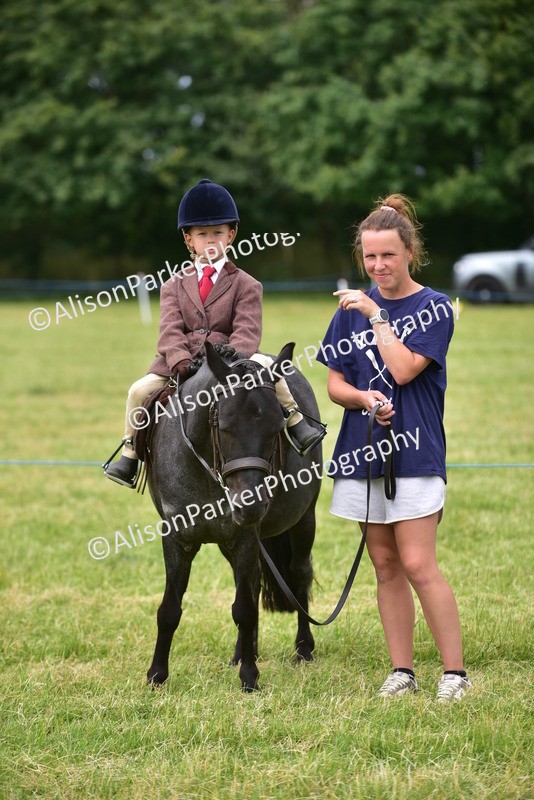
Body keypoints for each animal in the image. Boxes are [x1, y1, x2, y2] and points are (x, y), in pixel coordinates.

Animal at [145, 342, 323, 691]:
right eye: (224, 426)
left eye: (277, 427)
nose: (250, 505)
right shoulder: (176, 538)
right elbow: (170, 609)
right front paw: (157, 675)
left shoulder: (245, 538)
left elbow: (244, 609)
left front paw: (250, 678)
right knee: (253, 586)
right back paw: (243, 653)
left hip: (303, 521)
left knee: (299, 574)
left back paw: (303, 650)